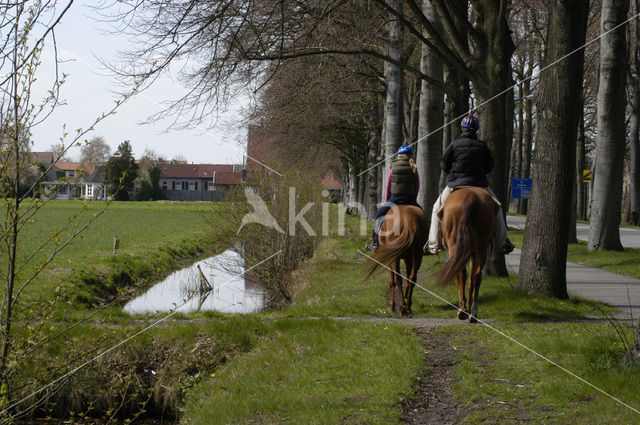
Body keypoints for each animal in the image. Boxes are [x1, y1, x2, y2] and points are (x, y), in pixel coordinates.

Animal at [438, 187, 498, 322]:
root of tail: (471, 195)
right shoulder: (473, 253)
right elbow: (471, 279)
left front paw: (464, 307)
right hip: (481, 249)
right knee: (476, 276)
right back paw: (473, 313)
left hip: (454, 247)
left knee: (460, 273)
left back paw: (463, 311)